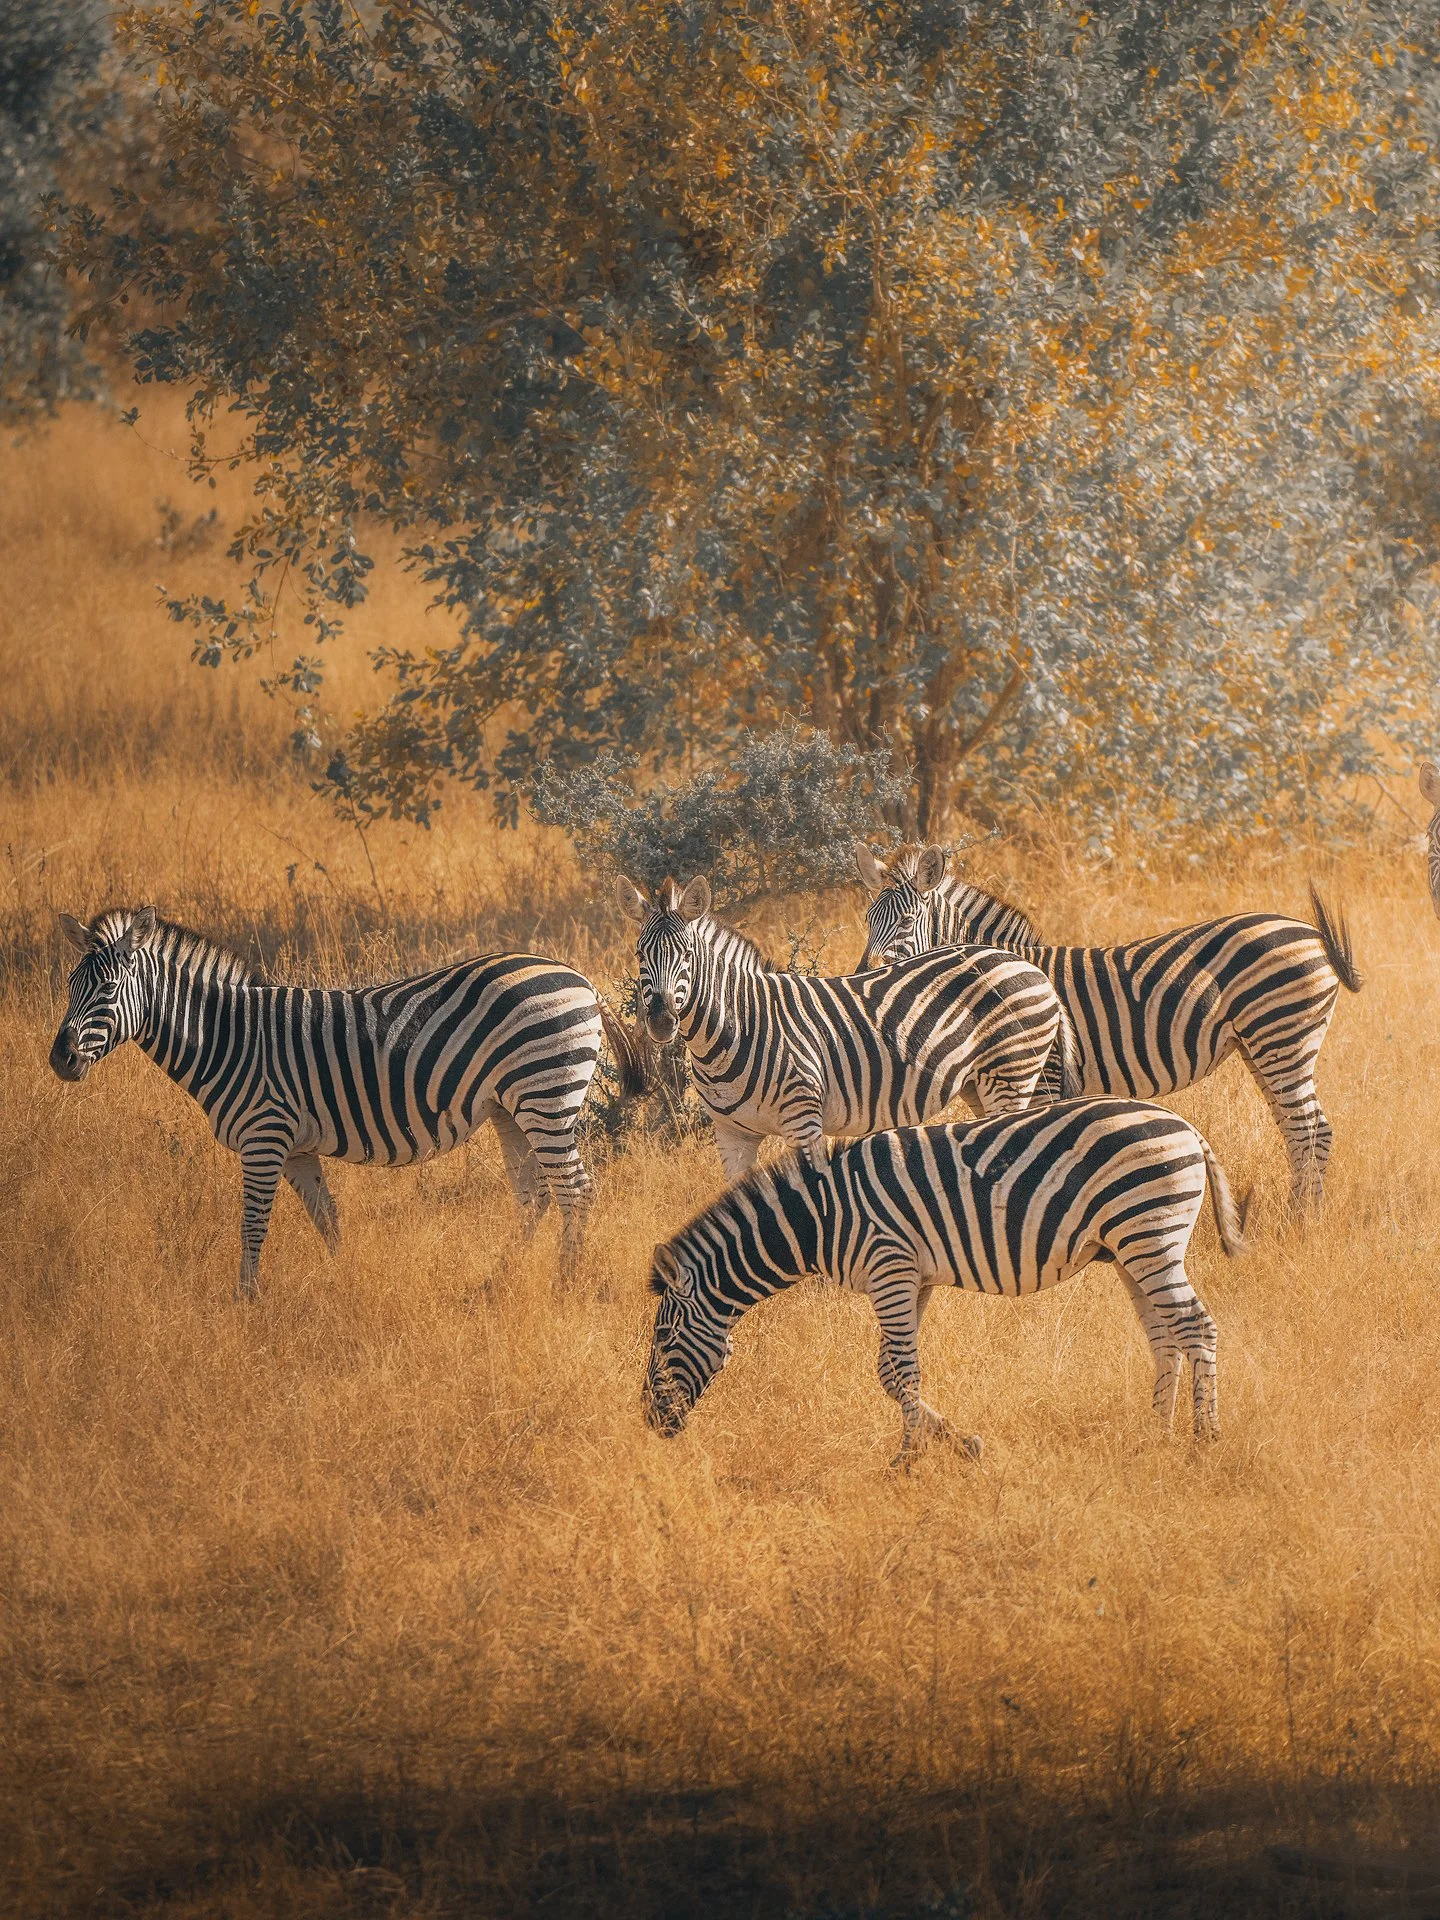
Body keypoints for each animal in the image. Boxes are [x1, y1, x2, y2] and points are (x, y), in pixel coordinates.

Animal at [49, 906, 645, 1295]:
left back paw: (563, 1287)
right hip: (510, 1108)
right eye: (70, 987)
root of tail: (579, 977)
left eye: (107, 990)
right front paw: (345, 1283)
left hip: (547, 1094)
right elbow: (328, 1219)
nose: (59, 1060)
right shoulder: (295, 1149)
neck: (226, 1037)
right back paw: (495, 1284)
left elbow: (253, 1224)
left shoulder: (265, 1136)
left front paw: (245, 1303)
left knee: (576, 1190)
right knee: (534, 1195)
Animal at [616, 875, 1077, 1183]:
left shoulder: (803, 1119)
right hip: (978, 1084)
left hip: (1013, 1074)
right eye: (639, 954)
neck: (736, 1026)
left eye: (687, 954)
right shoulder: (732, 1135)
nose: (660, 1020)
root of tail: (1023, 961)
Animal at [643, 1100, 1249, 1462]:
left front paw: (907, 1461)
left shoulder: (889, 1265)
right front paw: (958, 1444)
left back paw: (1204, 1440)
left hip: (1150, 1234)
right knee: (1165, 1337)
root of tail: (1187, 1128)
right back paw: (1155, 1436)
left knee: (1197, 1328)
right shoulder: (913, 1277)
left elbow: (903, 1372)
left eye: (664, 1339)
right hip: (1131, 1248)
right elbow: (889, 1372)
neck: (821, 1217)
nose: (650, 1424)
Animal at [854, 844, 1361, 1207]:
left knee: (1312, 1129)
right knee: (1296, 1129)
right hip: (1260, 1046)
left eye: (906, 922)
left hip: (1282, 1037)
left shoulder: (1046, 1076)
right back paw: (1298, 1212)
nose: (863, 971)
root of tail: (1308, 931)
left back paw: (1304, 1222)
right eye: (866, 919)